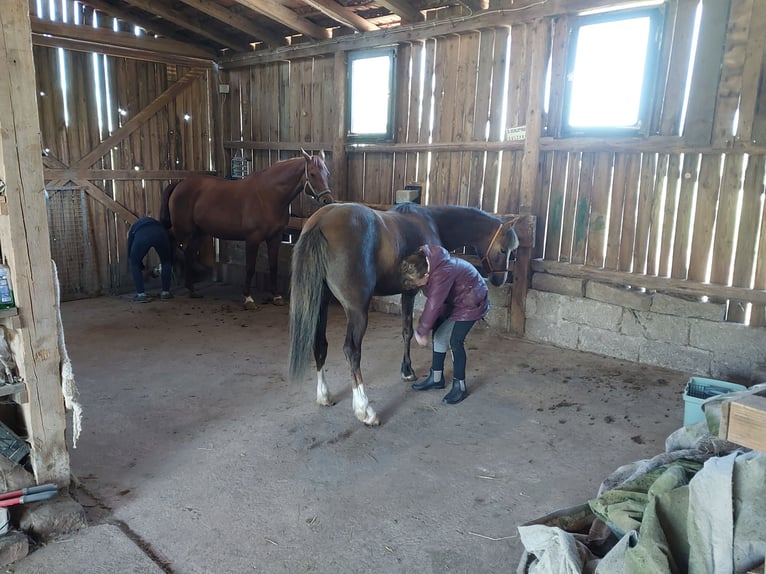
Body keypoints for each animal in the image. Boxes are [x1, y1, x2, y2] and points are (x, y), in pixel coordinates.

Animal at [159, 150, 334, 309]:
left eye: (327, 173)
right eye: (312, 174)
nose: (327, 200)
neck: (268, 196)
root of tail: (179, 184)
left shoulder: (275, 238)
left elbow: (273, 266)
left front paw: (276, 296)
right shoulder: (252, 239)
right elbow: (250, 268)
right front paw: (248, 298)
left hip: (199, 233)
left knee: (188, 253)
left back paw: (192, 290)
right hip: (183, 229)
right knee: (169, 238)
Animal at [288, 202, 520, 426]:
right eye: (503, 249)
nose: (500, 280)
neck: (432, 222)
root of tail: (321, 222)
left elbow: (407, 330)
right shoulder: (413, 292)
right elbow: (412, 331)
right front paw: (410, 372)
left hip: (320, 302)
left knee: (319, 344)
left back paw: (324, 395)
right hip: (357, 310)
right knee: (351, 350)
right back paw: (364, 409)